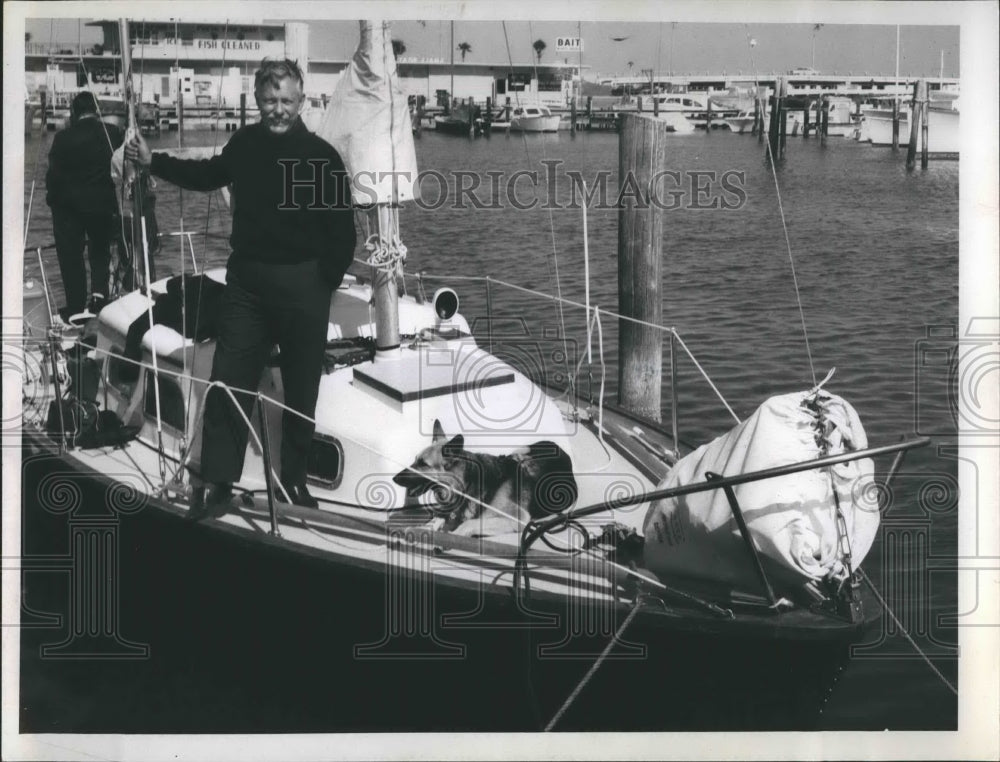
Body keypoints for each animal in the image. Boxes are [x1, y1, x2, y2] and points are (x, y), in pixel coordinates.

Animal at [392, 422, 580, 536]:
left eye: (423, 464)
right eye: (415, 460)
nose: (394, 478)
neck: (467, 485)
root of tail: (564, 454)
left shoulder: (518, 517)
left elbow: (470, 523)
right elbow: (438, 518)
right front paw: (424, 528)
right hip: (519, 450)